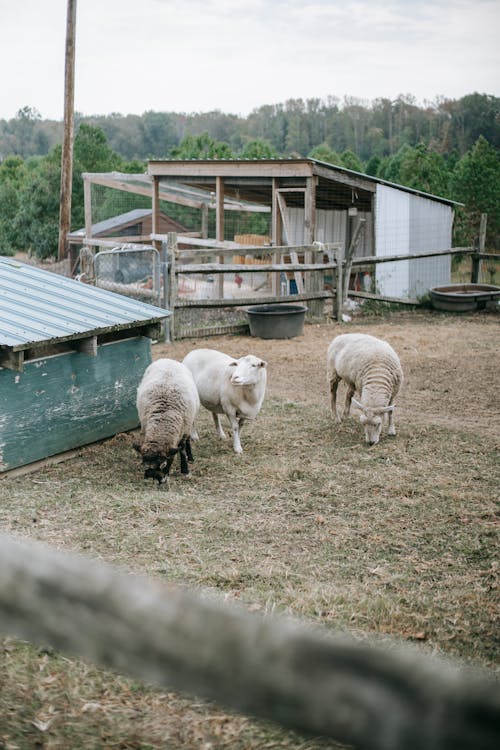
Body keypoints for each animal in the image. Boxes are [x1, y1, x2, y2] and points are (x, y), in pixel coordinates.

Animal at [137, 360, 201, 488]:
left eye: (163, 464)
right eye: (144, 464)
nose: (159, 481)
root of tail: (167, 360)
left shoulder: (183, 430)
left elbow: (181, 450)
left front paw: (185, 470)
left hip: (189, 423)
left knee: (188, 441)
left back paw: (190, 458)